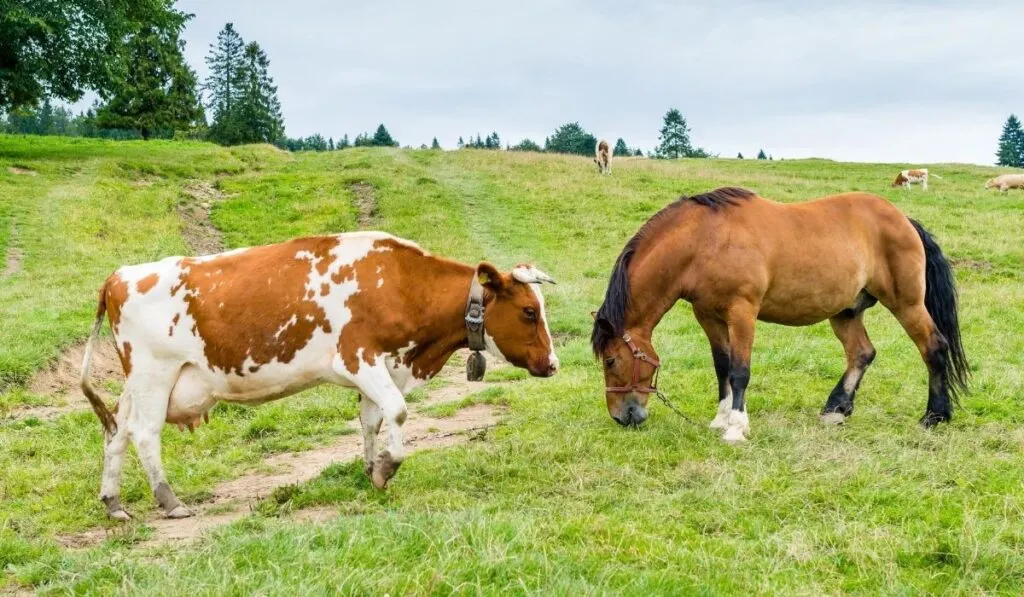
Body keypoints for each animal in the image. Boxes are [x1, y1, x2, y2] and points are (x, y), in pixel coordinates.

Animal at [79, 231, 559, 521]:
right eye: (528, 311)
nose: (553, 364)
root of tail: (119, 275)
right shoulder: (359, 357)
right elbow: (398, 411)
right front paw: (387, 468)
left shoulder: (382, 367)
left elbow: (372, 419)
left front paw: (370, 469)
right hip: (154, 374)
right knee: (144, 433)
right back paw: (169, 500)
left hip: (136, 384)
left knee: (116, 432)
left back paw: (113, 502)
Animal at [591, 187, 968, 442]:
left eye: (611, 360)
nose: (622, 416)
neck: (706, 241)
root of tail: (904, 220)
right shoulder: (708, 316)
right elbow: (722, 368)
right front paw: (721, 419)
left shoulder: (742, 312)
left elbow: (740, 371)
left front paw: (736, 428)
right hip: (845, 312)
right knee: (861, 353)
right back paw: (836, 410)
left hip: (907, 304)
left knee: (933, 347)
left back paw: (934, 415)